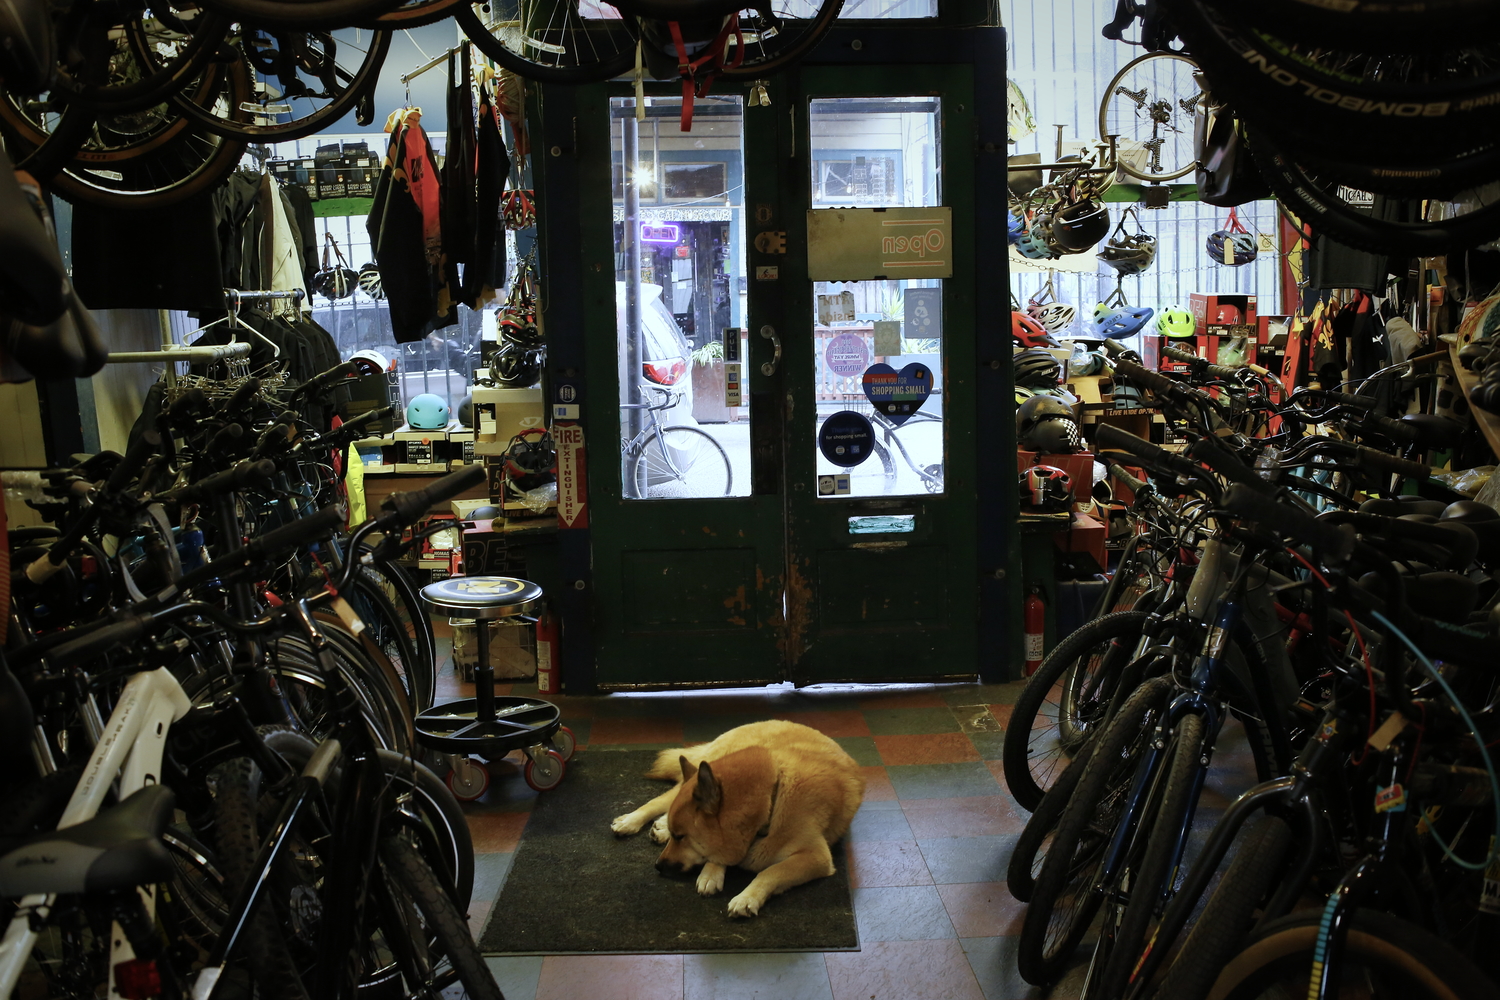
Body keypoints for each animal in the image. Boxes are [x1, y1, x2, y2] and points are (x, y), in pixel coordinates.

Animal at [609, 719, 870, 923]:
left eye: (681, 837)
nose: (658, 866)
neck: (771, 805)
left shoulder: (816, 857)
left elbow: (772, 871)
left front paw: (746, 896)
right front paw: (712, 872)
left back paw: (660, 827)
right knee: (660, 799)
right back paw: (631, 821)